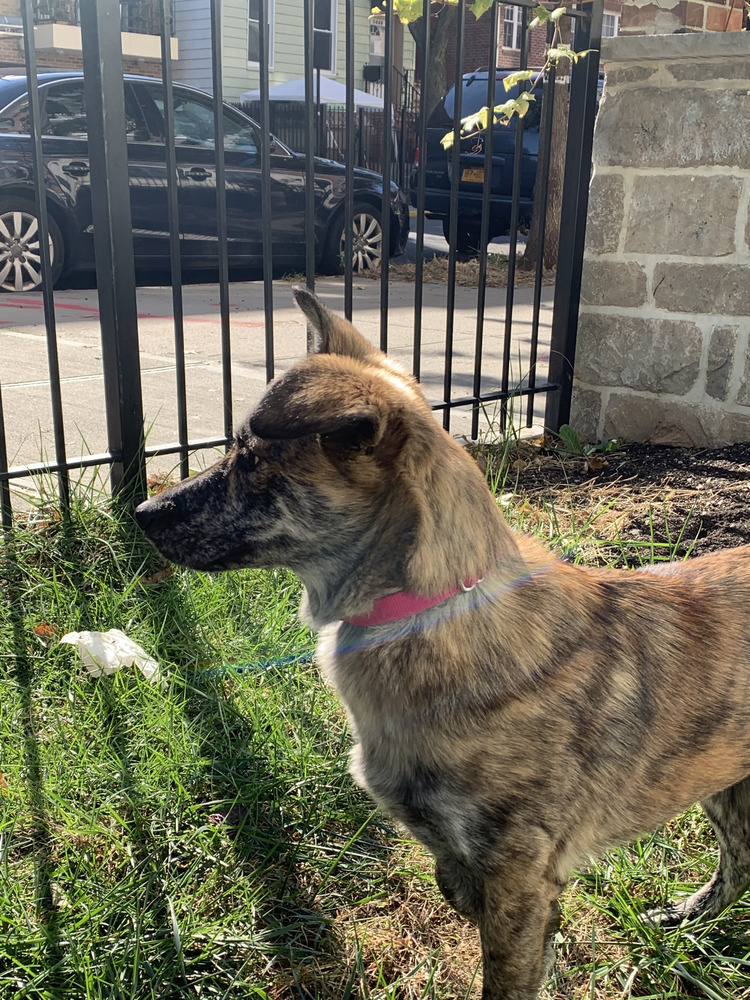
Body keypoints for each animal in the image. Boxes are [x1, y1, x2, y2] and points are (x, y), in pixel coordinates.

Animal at [135, 287, 750, 1000]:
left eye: (253, 461)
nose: (144, 514)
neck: (429, 608)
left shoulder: (516, 882)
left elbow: (507, 974)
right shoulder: (468, 864)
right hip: (726, 788)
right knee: (740, 863)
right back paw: (687, 920)